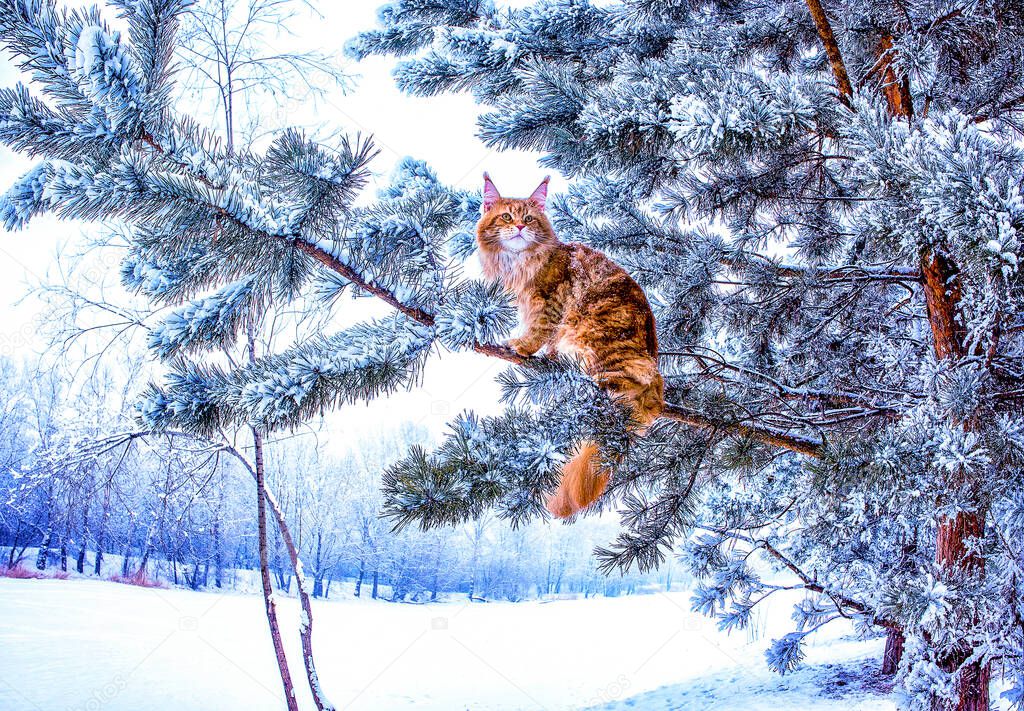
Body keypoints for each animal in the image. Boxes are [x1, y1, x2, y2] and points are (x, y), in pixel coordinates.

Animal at [473, 173, 663, 518]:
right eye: (506, 217)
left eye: (529, 219)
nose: (518, 227)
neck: (520, 261)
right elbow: (546, 339)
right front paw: (546, 355)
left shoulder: (550, 298)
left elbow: (539, 329)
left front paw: (522, 346)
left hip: (594, 334)